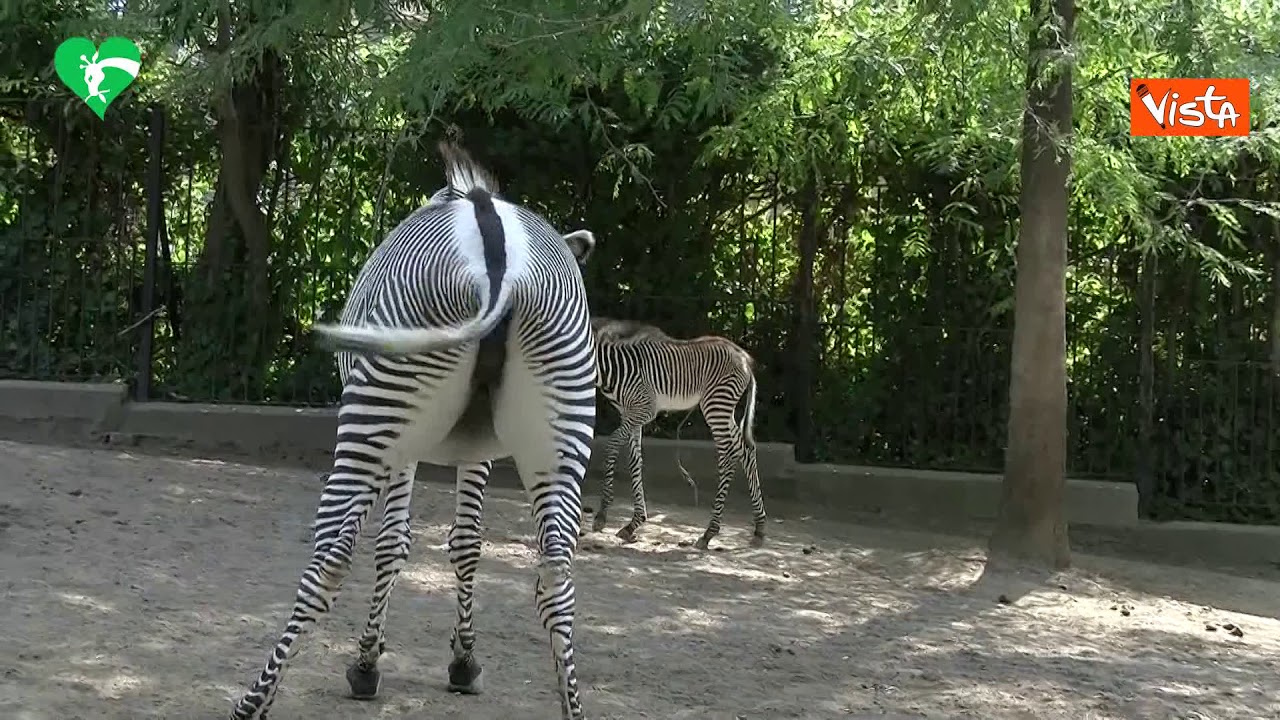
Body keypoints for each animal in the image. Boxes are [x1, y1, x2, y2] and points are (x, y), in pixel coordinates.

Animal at [227, 142, 597, 720]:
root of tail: (499, 257)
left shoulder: (405, 451)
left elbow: (392, 543)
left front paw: (369, 663)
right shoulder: (477, 451)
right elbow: (466, 543)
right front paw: (463, 661)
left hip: (374, 418)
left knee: (330, 556)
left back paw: (255, 700)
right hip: (561, 434)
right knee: (557, 576)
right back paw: (572, 704)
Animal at [588, 317, 766, 550]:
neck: (617, 368)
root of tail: (743, 357)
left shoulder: (645, 410)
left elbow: (612, 444)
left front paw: (602, 514)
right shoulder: (631, 413)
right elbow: (635, 461)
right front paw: (634, 523)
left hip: (716, 404)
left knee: (728, 456)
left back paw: (709, 532)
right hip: (724, 409)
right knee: (746, 450)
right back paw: (759, 528)